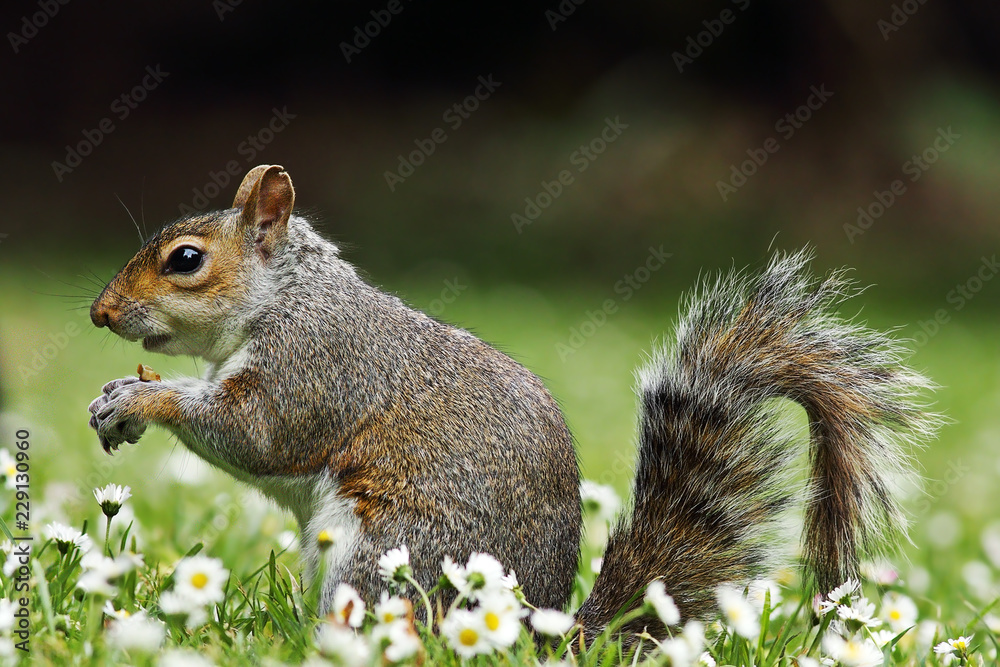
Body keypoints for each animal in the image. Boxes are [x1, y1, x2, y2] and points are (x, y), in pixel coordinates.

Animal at [86, 164, 936, 636]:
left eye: (186, 260)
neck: (285, 294)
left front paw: (139, 397)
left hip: (392, 557)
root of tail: (535, 629)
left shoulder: (318, 366)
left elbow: (254, 434)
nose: (99, 313)